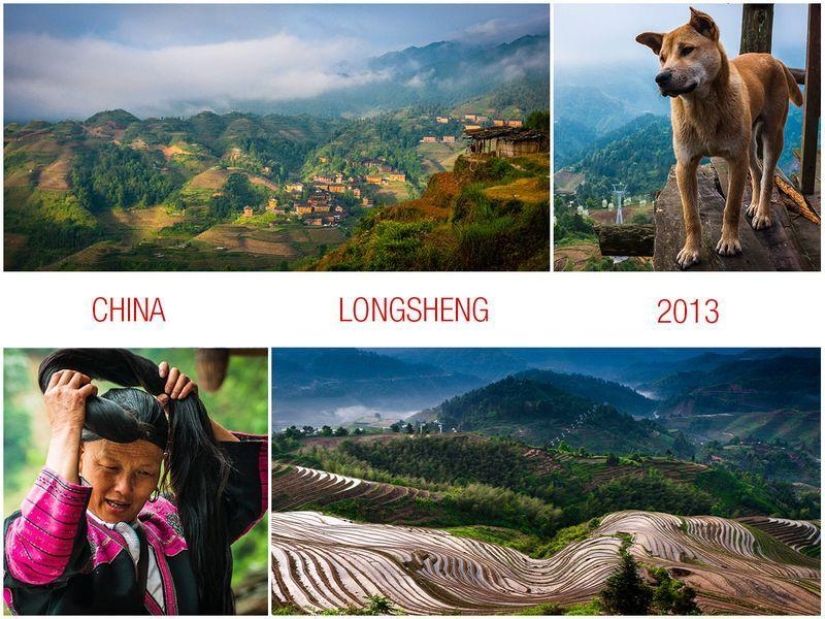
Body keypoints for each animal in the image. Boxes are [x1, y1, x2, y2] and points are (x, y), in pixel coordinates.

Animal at [636, 7, 800, 268]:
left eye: (687, 49)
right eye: (662, 57)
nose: (660, 78)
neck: (702, 108)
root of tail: (772, 58)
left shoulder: (736, 161)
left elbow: (731, 206)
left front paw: (730, 241)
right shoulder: (685, 165)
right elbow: (691, 214)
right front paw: (690, 250)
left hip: (772, 134)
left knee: (767, 177)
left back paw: (763, 212)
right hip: (749, 143)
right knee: (756, 171)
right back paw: (754, 205)